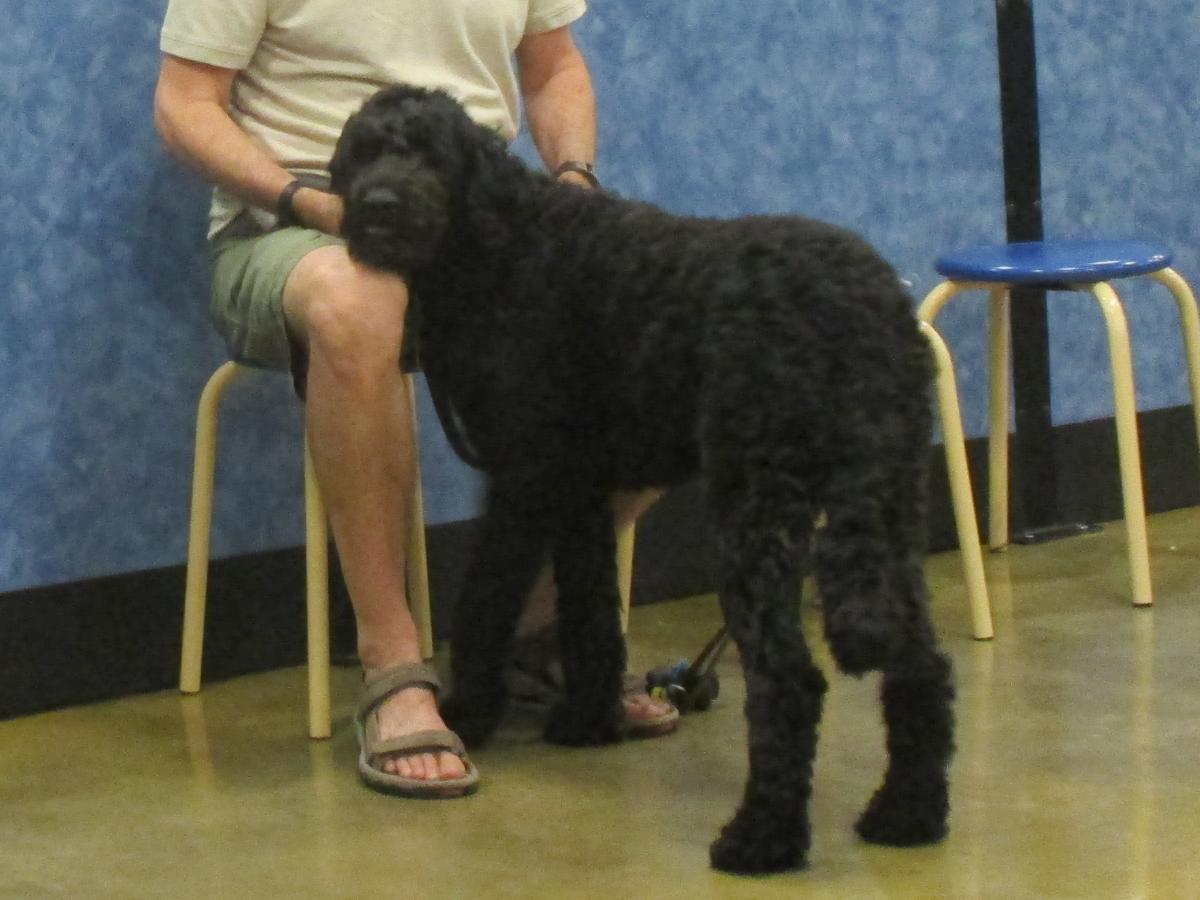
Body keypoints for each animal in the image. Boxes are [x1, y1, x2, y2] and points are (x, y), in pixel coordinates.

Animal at [329, 84, 955, 875]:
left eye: (428, 153)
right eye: (362, 153)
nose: (378, 205)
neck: (504, 245)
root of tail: (860, 302)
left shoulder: (524, 480)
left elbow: (485, 605)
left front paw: (470, 712)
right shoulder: (578, 491)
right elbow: (591, 608)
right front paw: (586, 718)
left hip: (755, 513)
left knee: (789, 681)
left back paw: (761, 838)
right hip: (889, 503)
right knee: (921, 660)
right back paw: (908, 813)